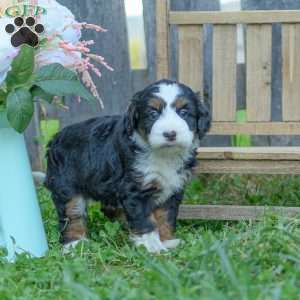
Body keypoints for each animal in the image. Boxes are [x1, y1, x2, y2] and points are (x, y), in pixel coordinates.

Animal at [45, 79, 211, 253]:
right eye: (153, 114)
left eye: (184, 112)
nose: (170, 134)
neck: (164, 154)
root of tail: (55, 138)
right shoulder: (135, 189)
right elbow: (145, 219)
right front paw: (151, 246)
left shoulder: (173, 187)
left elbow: (166, 216)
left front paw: (167, 240)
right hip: (66, 185)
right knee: (72, 214)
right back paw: (74, 243)